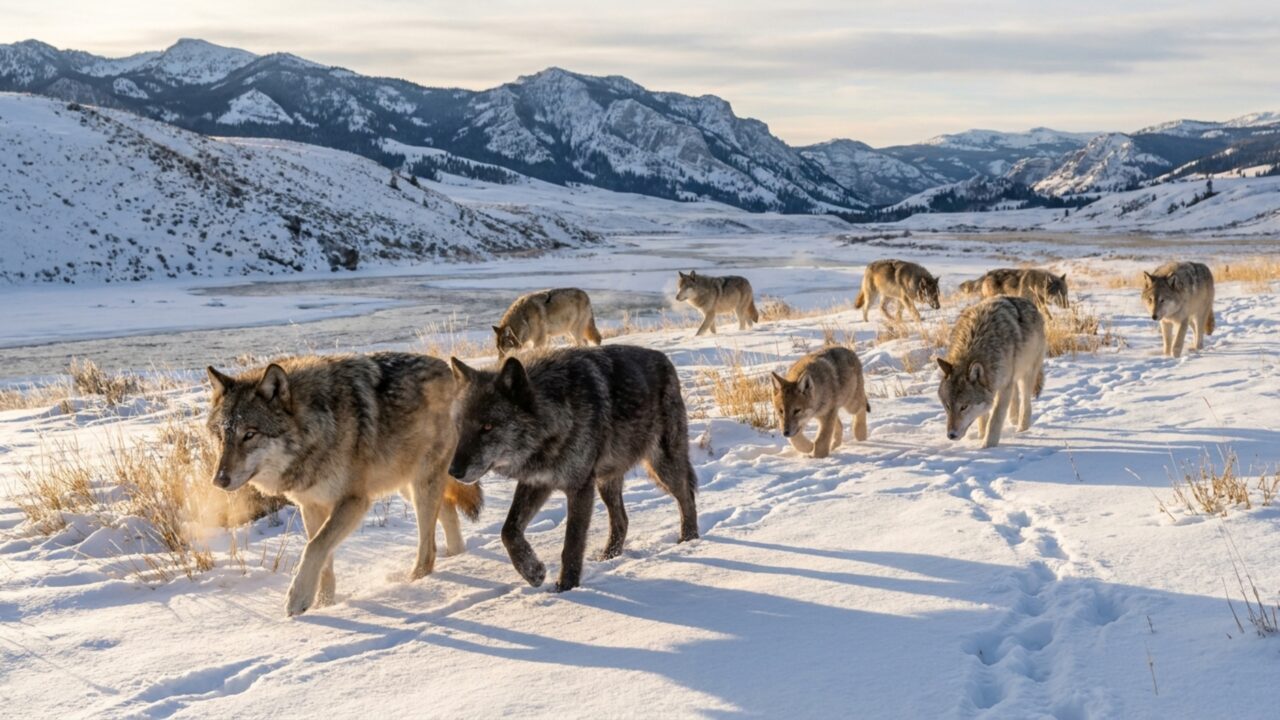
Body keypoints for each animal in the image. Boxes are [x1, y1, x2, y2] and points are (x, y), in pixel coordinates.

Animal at [205, 353, 482, 617]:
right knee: (448, 512)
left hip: (421, 485)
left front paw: (297, 599)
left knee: (428, 545)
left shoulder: (354, 501)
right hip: (407, 486)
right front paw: (323, 604)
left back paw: (416, 581)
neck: (317, 429)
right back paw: (457, 557)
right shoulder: (311, 506)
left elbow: (314, 547)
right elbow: (323, 557)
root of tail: (450, 369)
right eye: (221, 436)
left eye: (249, 434)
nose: (218, 480)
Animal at [448, 345, 698, 592]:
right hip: (606, 482)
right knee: (622, 520)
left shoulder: (579, 488)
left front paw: (566, 586)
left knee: (687, 498)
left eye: (487, 427)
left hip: (663, 467)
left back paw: (690, 540)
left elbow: (572, 543)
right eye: (459, 427)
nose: (453, 472)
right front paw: (533, 572)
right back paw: (609, 556)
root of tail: (663, 358)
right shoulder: (536, 482)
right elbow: (508, 530)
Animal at [935, 296, 1047, 449]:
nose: (951, 435)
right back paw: (1013, 419)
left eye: (964, 407)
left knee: (1025, 400)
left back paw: (1022, 429)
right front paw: (981, 436)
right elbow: (983, 417)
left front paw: (988, 445)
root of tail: (1030, 302)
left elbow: (995, 418)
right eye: (947, 406)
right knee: (1015, 395)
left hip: (1027, 373)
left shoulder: (1003, 386)